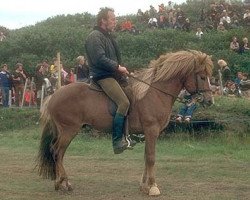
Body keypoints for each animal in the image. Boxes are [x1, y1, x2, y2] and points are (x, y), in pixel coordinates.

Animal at [37, 49, 213, 195]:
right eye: (202, 77)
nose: (210, 100)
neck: (154, 93)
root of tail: (53, 95)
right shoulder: (151, 130)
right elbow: (151, 157)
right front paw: (153, 187)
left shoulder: (148, 134)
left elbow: (146, 157)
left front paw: (144, 186)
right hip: (69, 130)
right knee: (57, 152)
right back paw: (63, 183)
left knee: (59, 153)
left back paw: (61, 183)